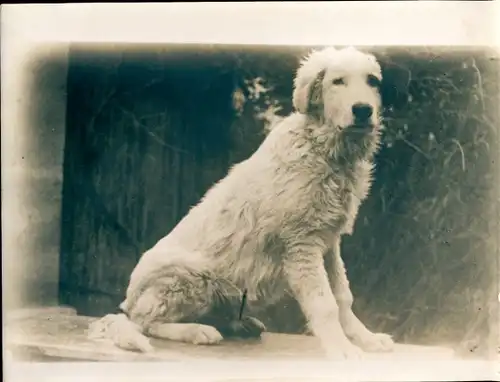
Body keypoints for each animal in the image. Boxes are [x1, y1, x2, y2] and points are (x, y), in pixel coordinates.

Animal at [89, 46, 394, 360]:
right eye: (337, 82)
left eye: (372, 81)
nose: (363, 110)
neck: (325, 150)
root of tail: (128, 303)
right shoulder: (301, 244)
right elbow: (325, 304)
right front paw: (342, 349)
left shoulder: (328, 241)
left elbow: (343, 295)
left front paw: (366, 338)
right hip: (189, 278)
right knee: (145, 322)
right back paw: (196, 331)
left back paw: (241, 324)